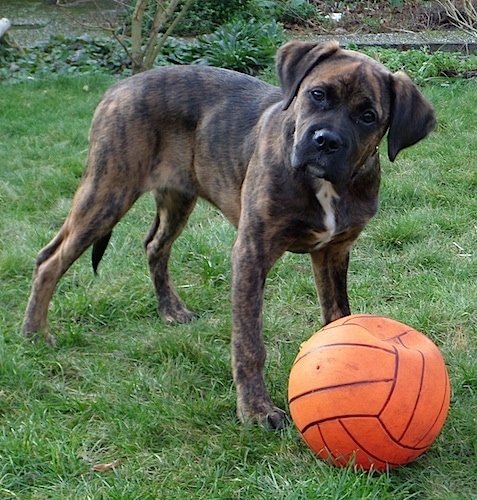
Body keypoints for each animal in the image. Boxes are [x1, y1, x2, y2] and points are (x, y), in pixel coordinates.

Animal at [22, 40, 436, 430]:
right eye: (317, 94)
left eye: (368, 117)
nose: (326, 141)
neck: (326, 186)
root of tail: (120, 85)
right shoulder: (252, 252)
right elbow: (250, 342)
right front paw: (256, 410)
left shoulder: (334, 252)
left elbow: (338, 315)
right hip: (109, 190)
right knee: (50, 259)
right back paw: (35, 334)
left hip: (176, 196)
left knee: (153, 244)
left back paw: (170, 310)